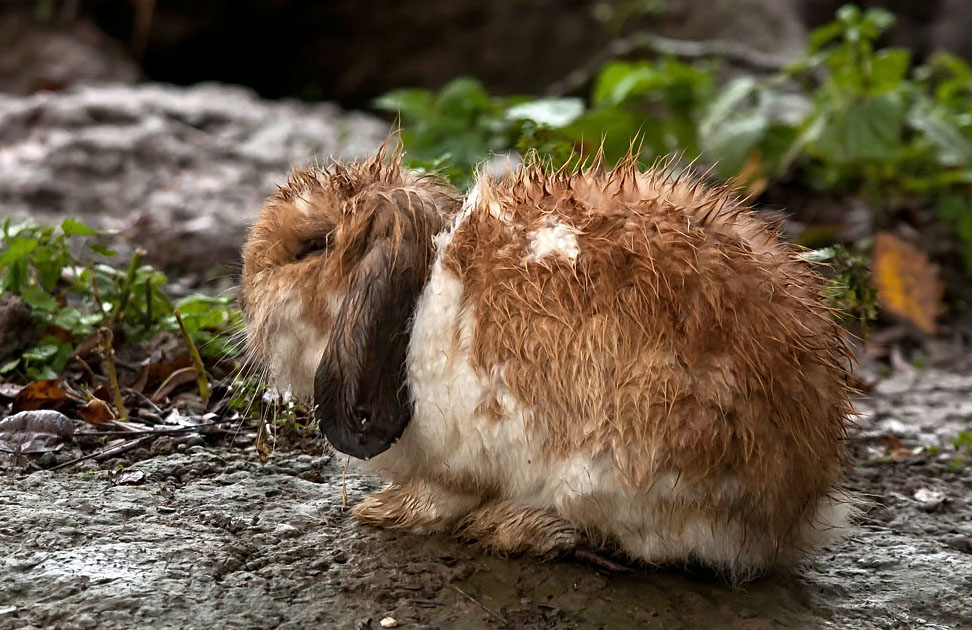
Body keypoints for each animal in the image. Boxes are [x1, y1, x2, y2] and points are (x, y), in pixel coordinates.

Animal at [243, 143, 860, 584]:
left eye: (310, 246)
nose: (246, 295)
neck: (417, 301)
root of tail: (794, 506)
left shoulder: (463, 451)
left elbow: (442, 492)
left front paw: (384, 511)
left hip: (619, 464)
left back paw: (513, 525)